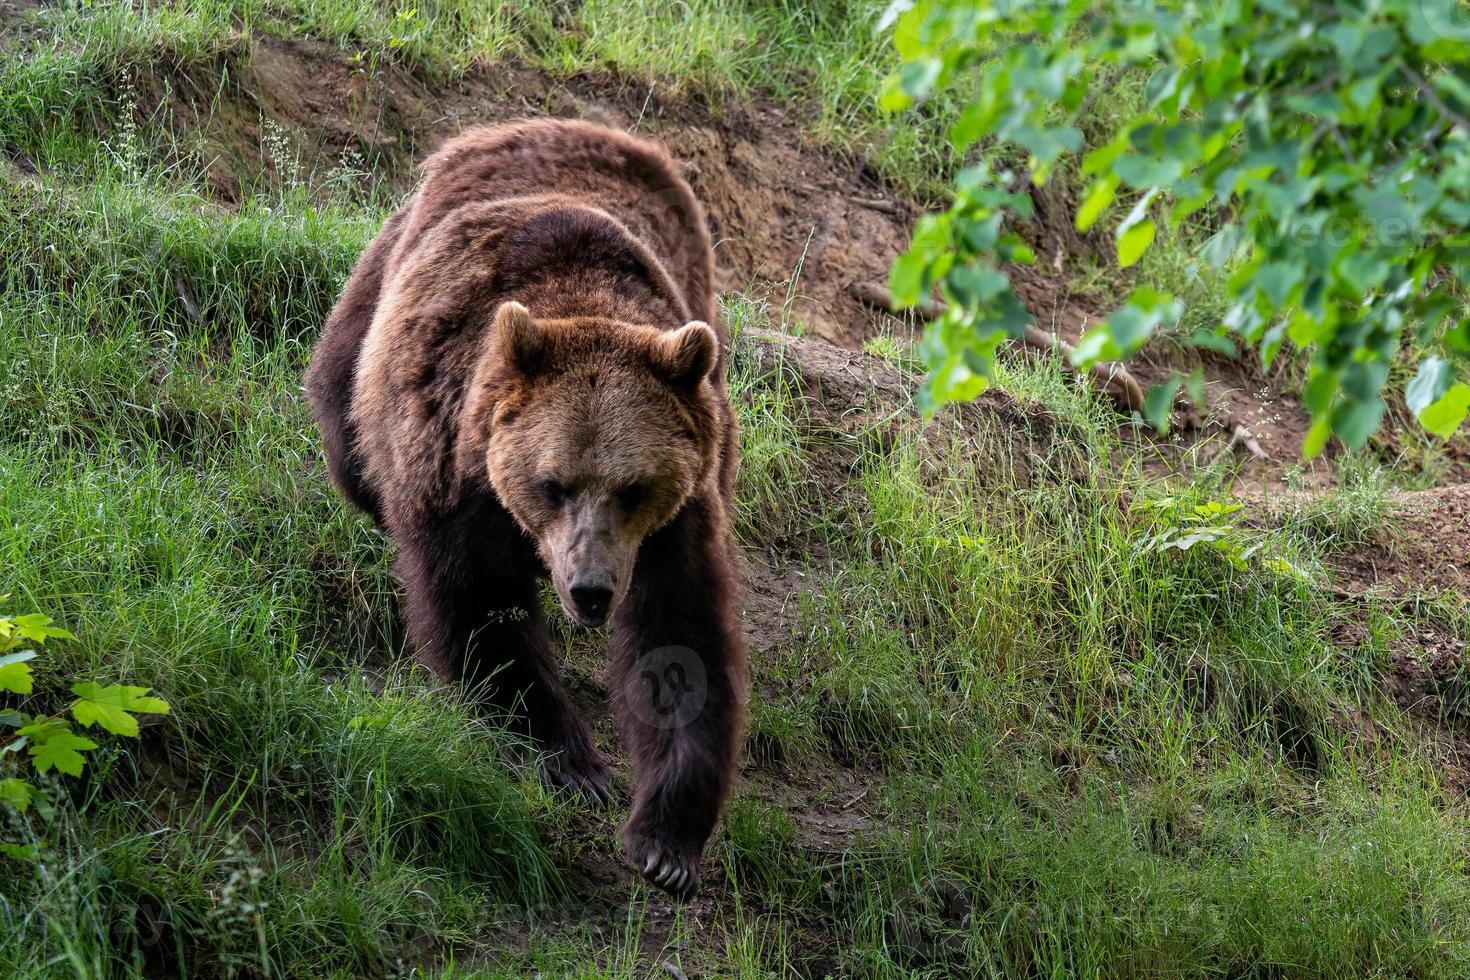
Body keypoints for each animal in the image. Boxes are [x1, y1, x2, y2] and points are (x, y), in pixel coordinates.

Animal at [307, 116, 746, 899]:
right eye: (553, 484)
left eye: (633, 488)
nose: (590, 590)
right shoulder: (454, 459)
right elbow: (481, 610)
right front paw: (573, 764)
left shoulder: (678, 518)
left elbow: (680, 643)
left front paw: (666, 842)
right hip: (372, 307)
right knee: (347, 437)